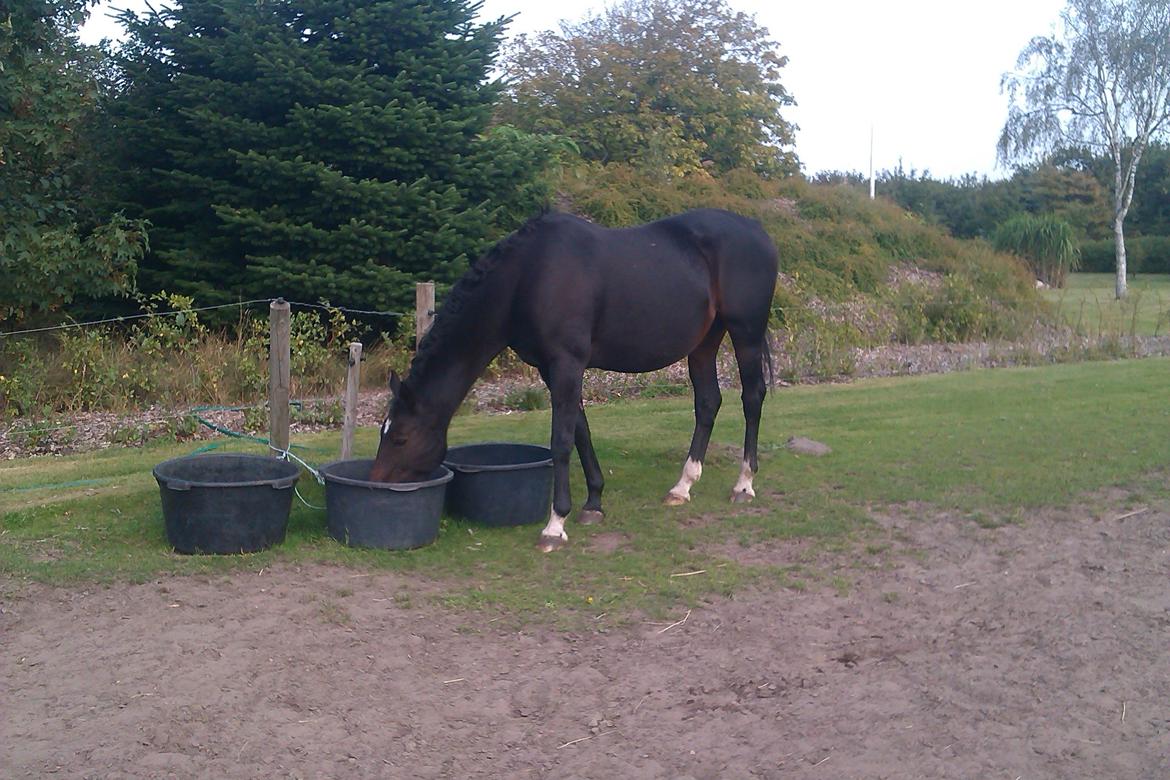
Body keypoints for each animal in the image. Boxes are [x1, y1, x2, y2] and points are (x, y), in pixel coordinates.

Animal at [369, 206, 781, 549]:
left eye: (401, 438)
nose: (377, 482)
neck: (528, 276)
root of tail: (757, 230)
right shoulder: (551, 369)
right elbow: (581, 431)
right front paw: (594, 502)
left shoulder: (566, 363)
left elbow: (561, 440)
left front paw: (555, 525)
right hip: (704, 343)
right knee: (708, 402)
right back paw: (682, 487)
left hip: (745, 333)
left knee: (752, 398)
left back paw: (744, 483)